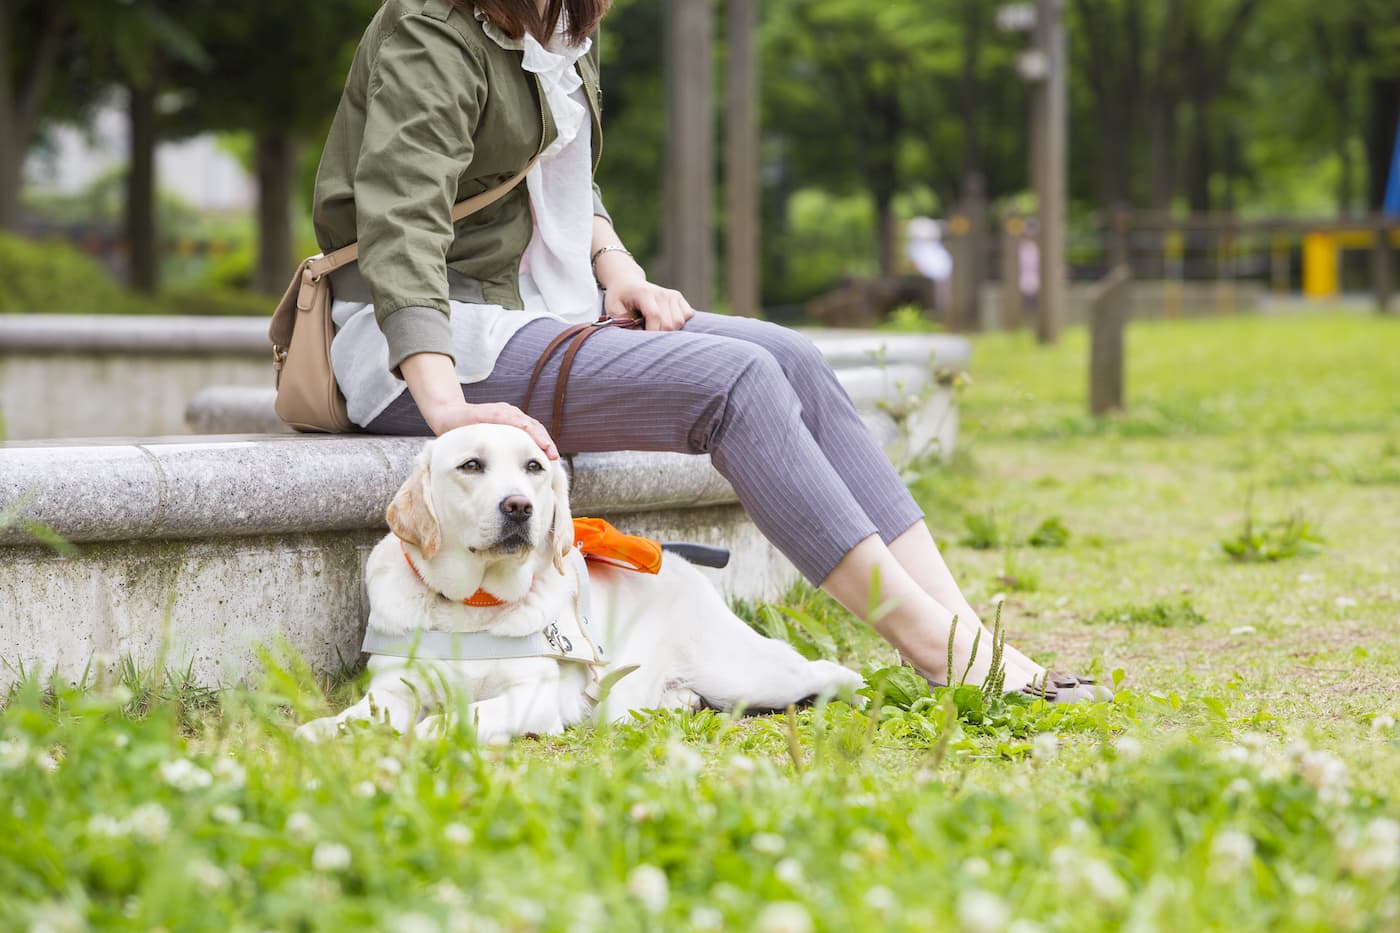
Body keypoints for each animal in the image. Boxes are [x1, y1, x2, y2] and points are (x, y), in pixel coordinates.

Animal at [301, 420, 856, 739]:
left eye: (534, 467)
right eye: (471, 465)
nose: (519, 506)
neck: (471, 606)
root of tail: (680, 564)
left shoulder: (532, 699)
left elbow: (458, 716)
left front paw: (425, 734)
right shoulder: (394, 690)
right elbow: (352, 719)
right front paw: (320, 732)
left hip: (743, 673)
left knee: (816, 668)